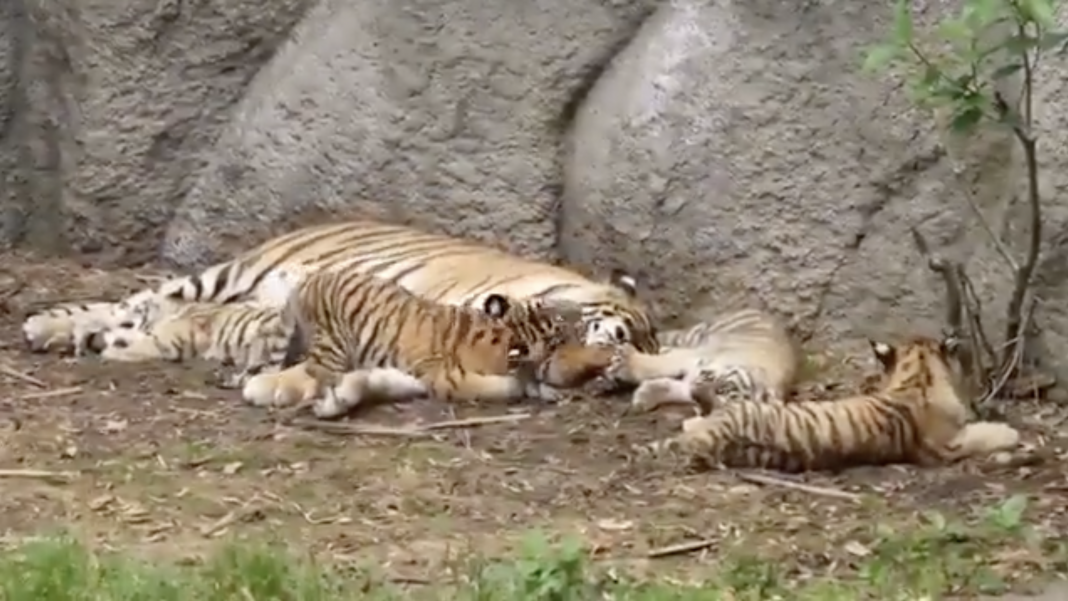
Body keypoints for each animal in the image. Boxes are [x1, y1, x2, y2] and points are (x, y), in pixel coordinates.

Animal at [240, 266, 617, 419]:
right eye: (559, 334)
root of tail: (308, 282)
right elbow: (503, 386)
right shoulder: (446, 377)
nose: (604, 355)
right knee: (317, 366)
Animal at [601, 309, 799, 416]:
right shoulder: (694, 356)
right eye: (719, 386)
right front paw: (627, 363)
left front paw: (645, 395)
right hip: (692, 336)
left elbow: (675, 388)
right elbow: (660, 364)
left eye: (724, 400)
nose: (699, 398)